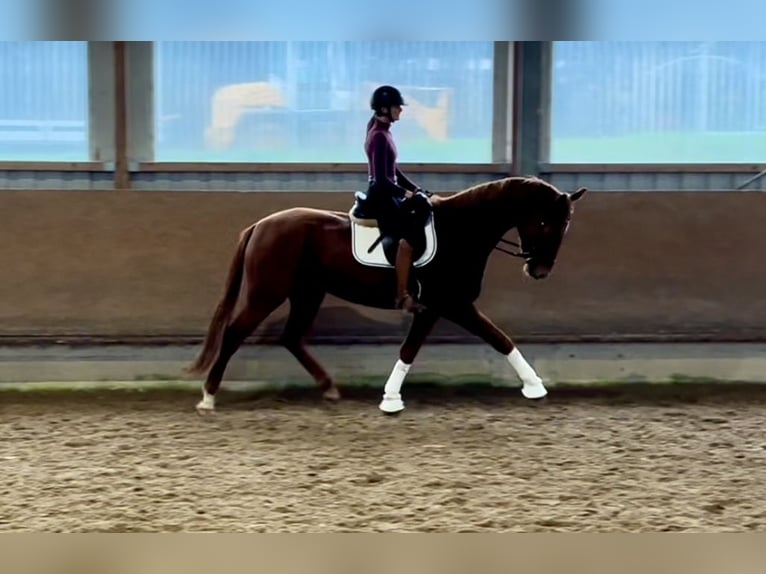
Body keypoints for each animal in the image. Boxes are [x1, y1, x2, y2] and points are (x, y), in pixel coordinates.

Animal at [184, 176, 588, 414]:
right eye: (545, 221)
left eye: (567, 225)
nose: (539, 270)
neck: (461, 232)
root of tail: (260, 225)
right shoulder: (449, 304)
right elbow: (489, 339)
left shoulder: (442, 307)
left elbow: (491, 340)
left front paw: (534, 386)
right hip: (267, 293)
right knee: (234, 334)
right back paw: (208, 397)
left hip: (307, 293)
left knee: (292, 337)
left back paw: (329, 389)